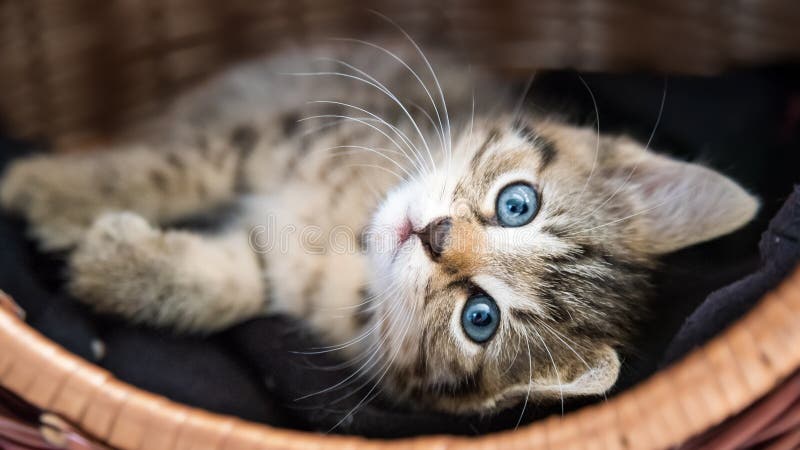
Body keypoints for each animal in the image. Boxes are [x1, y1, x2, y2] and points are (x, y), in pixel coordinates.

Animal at [1, 40, 756, 414]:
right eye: (519, 203)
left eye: (479, 319)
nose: (434, 236)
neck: (348, 236)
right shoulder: (289, 133)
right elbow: (176, 168)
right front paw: (51, 189)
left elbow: (239, 286)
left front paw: (113, 263)